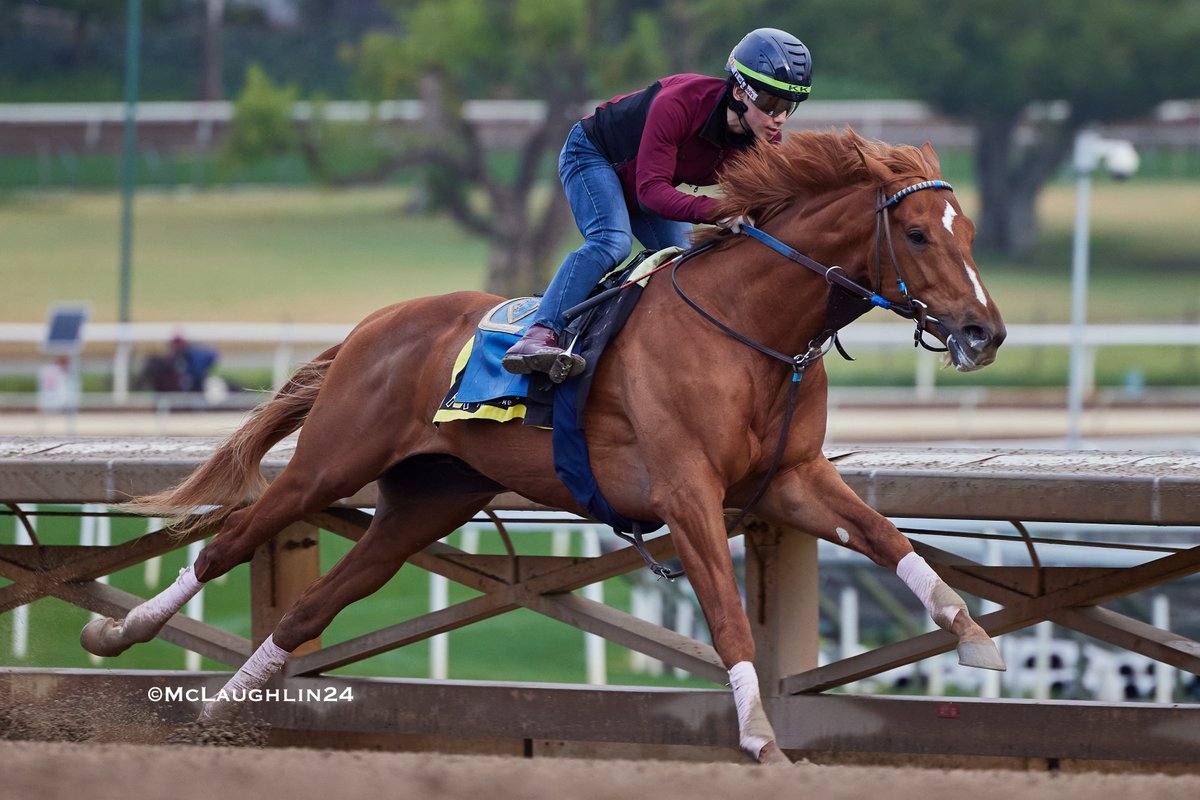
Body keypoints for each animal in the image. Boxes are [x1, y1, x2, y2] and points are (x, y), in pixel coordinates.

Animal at [81, 128, 1006, 765]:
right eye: (918, 233)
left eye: (968, 232)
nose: (985, 331)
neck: (751, 328)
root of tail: (374, 325)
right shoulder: (687, 492)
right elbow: (728, 616)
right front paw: (759, 739)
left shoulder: (791, 478)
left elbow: (886, 538)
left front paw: (972, 634)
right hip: (330, 462)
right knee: (232, 538)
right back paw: (122, 634)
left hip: (428, 499)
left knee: (313, 607)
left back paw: (215, 716)